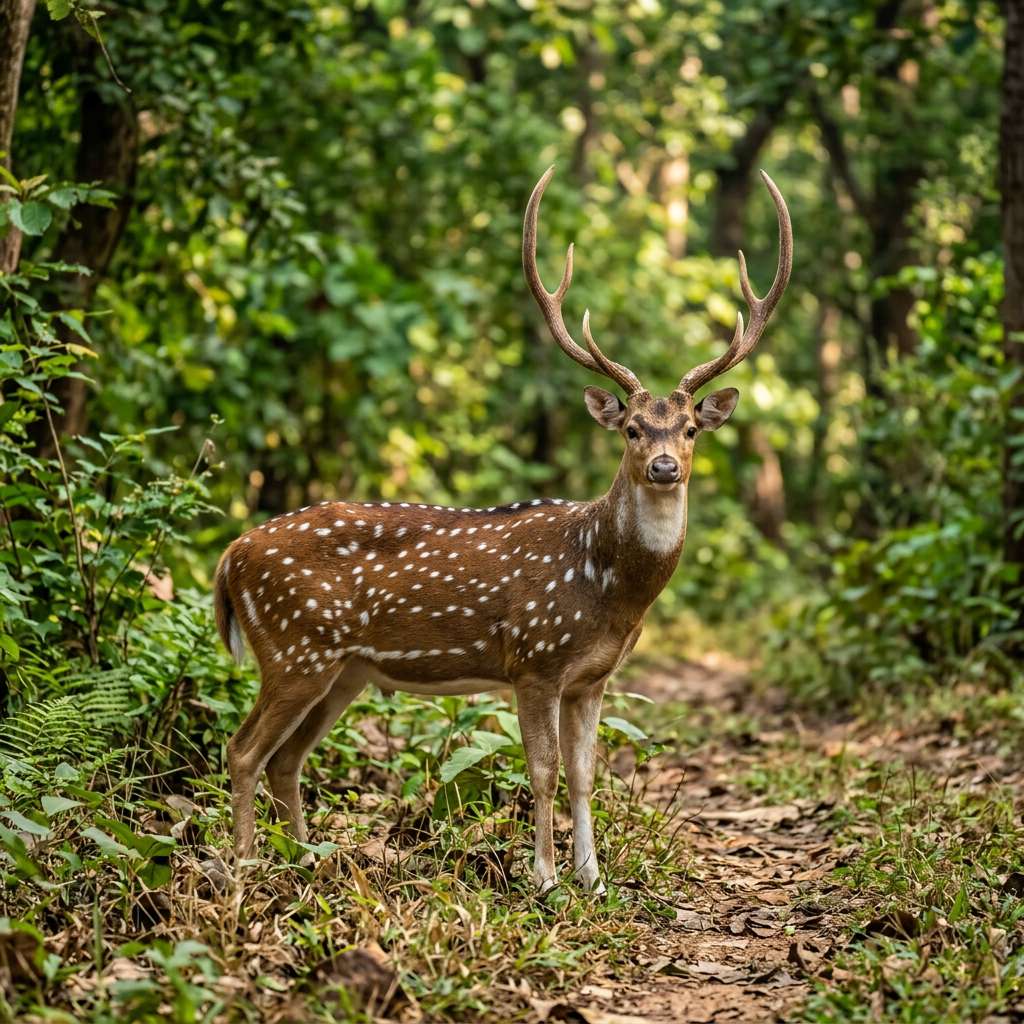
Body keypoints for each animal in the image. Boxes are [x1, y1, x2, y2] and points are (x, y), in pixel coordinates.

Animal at [214, 166, 792, 894]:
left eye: (689, 429)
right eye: (632, 428)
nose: (664, 467)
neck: (608, 586)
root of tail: (229, 557)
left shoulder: (591, 677)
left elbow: (586, 774)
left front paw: (593, 880)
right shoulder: (534, 658)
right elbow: (542, 771)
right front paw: (544, 879)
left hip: (340, 668)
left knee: (285, 759)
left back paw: (310, 864)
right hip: (295, 646)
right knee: (243, 750)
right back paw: (243, 875)